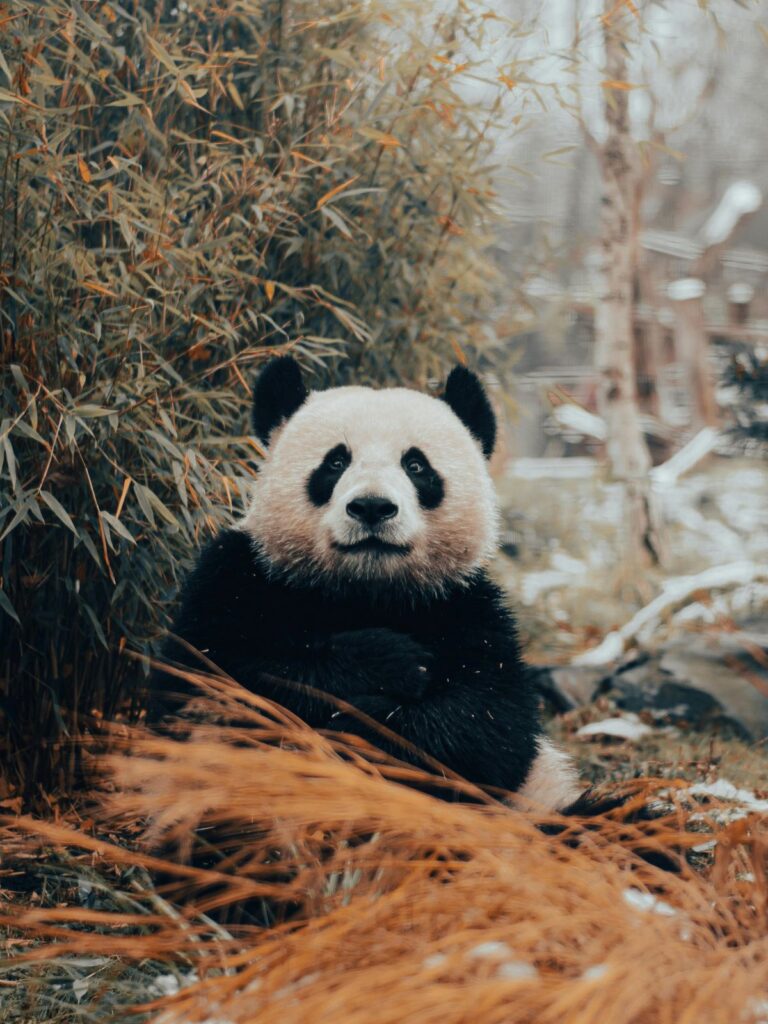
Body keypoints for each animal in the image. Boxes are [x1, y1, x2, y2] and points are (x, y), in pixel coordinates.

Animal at [153, 356, 581, 811]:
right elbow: (212, 682)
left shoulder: (467, 607)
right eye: (335, 462)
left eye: (416, 466)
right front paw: (390, 661)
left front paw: (371, 724)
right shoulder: (240, 577)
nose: (372, 507)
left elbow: (488, 725)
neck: (365, 589)